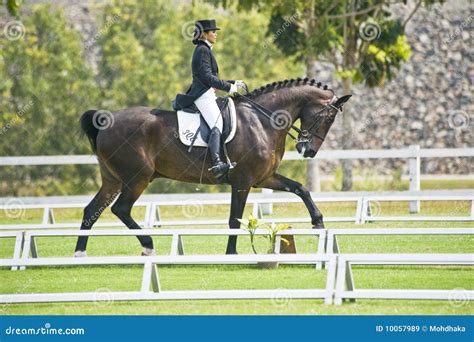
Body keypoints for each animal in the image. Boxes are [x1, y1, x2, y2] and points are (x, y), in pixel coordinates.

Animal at [73, 76, 348, 255]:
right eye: (328, 117)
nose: (308, 150)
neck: (262, 121)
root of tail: (105, 120)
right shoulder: (243, 181)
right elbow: (235, 219)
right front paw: (231, 254)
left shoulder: (264, 178)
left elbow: (301, 188)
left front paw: (318, 223)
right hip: (137, 178)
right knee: (120, 209)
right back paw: (148, 245)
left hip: (113, 179)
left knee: (91, 211)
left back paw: (79, 254)